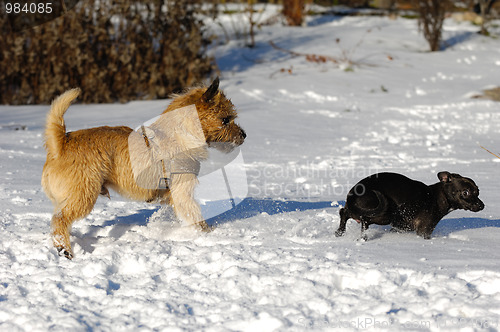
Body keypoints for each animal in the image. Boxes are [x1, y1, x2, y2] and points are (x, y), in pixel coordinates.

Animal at [41, 78, 246, 260]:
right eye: (225, 119)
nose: (244, 135)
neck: (179, 133)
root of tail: (61, 143)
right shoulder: (183, 192)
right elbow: (195, 215)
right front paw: (207, 234)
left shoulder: (172, 195)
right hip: (83, 195)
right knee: (60, 219)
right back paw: (64, 250)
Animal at [336, 172, 484, 240]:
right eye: (465, 192)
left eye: (477, 191)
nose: (481, 205)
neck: (436, 197)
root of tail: (353, 195)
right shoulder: (424, 231)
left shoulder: (400, 228)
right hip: (384, 214)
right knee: (364, 220)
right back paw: (363, 237)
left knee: (343, 212)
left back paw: (339, 232)